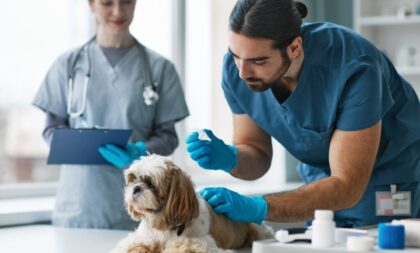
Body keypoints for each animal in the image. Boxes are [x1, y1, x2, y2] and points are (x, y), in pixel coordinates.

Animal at [111, 154, 274, 253]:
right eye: (132, 179)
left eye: (151, 184)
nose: (136, 188)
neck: (164, 226)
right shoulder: (143, 237)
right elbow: (134, 244)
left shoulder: (202, 243)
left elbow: (181, 245)